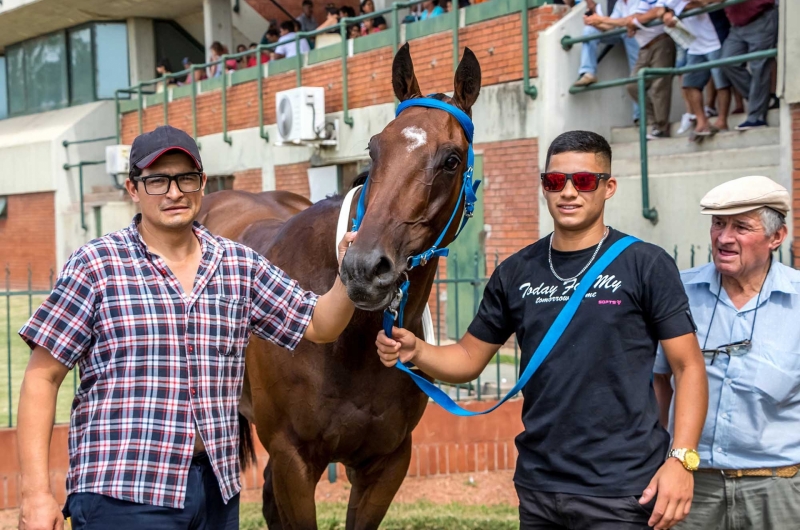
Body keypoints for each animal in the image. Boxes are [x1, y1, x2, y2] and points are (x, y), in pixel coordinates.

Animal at [198, 43, 482, 524]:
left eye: (451, 159)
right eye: (374, 148)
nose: (365, 267)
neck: (349, 345)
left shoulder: (387, 464)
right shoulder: (293, 459)